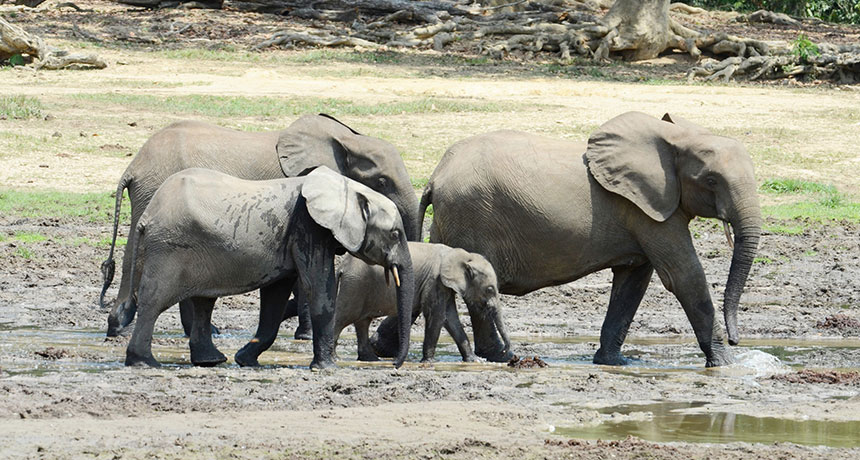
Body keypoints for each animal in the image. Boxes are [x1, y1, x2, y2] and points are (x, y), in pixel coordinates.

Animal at [121, 166, 415, 370]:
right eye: (395, 234)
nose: (394, 365)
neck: (346, 188)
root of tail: (146, 215)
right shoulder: (309, 227)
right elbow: (319, 290)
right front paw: (328, 368)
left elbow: (275, 297)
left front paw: (245, 360)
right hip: (168, 249)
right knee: (154, 302)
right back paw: (145, 363)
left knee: (203, 302)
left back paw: (211, 361)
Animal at [284, 242, 510, 362]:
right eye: (490, 289)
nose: (508, 353)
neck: (461, 255)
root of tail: (342, 266)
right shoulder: (434, 281)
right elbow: (437, 317)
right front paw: (428, 362)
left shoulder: (442, 286)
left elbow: (450, 319)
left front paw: (473, 361)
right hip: (355, 286)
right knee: (343, 318)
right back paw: (337, 359)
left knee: (362, 321)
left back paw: (370, 359)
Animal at [373, 111, 761, 368]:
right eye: (711, 181)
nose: (736, 337)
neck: (676, 139)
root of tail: (435, 177)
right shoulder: (647, 211)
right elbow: (683, 276)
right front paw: (727, 365)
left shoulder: (645, 212)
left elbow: (633, 280)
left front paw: (614, 363)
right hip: (471, 214)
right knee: (476, 291)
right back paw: (498, 356)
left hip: (453, 219)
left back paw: (381, 348)